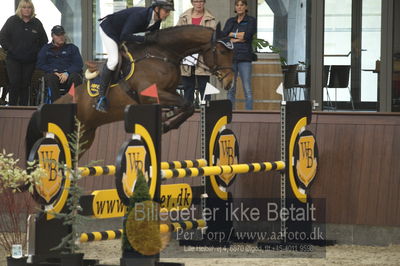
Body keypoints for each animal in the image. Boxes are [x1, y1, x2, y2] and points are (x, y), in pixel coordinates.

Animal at [25, 23, 234, 157]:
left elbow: (188, 106)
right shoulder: (150, 95)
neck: (161, 54)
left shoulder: (171, 92)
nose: (230, 82)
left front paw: (166, 121)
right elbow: (187, 104)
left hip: (85, 136)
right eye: (223, 51)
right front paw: (165, 123)